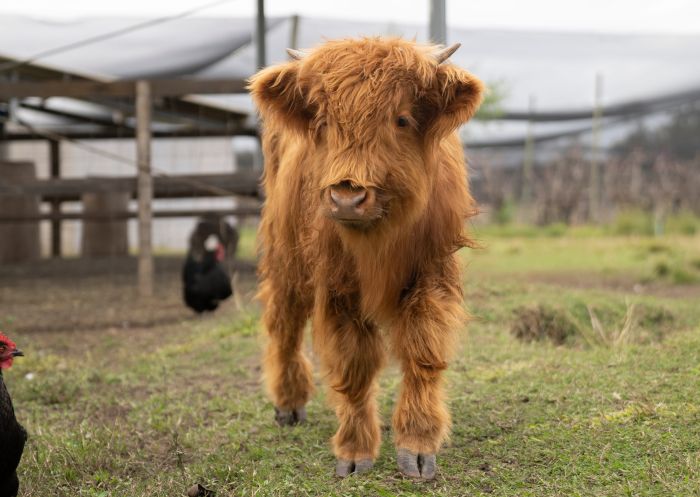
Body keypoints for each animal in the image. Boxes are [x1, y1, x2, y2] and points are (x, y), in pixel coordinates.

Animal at [249, 36, 484, 478]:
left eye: (402, 119)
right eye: (324, 122)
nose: (347, 196)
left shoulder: (431, 275)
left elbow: (422, 351)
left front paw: (418, 446)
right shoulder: (337, 288)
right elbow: (354, 365)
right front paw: (354, 453)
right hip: (284, 254)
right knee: (284, 323)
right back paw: (288, 404)